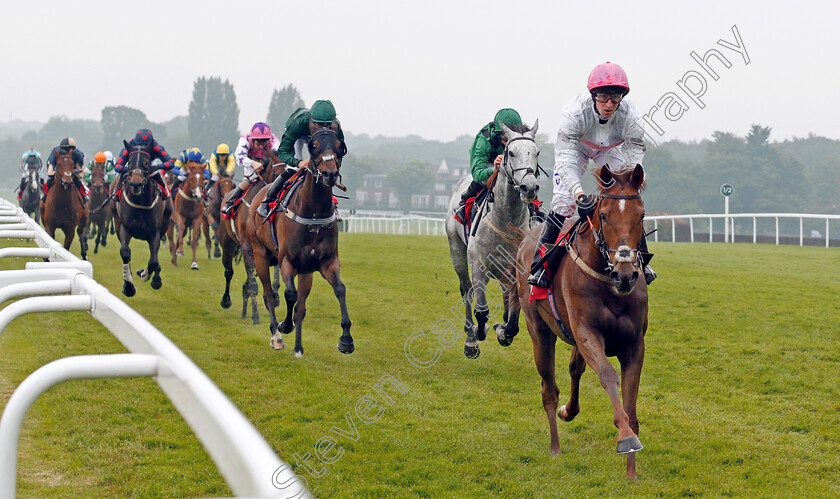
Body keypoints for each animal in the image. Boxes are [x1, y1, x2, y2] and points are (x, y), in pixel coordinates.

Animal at [111, 142, 174, 296]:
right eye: (130, 161)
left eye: (146, 162)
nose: (136, 184)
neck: (140, 201)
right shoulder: (124, 228)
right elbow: (125, 252)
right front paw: (128, 286)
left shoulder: (154, 232)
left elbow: (153, 261)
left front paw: (147, 275)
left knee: (155, 257)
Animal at [215, 152, 284, 324]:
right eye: (278, 174)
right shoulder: (249, 250)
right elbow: (253, 285)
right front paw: (256, 317)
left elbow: (274, 281)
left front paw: (274, 299)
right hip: (227, 247)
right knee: (229, 272)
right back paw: (227, 301)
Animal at [244, 127, 352, 358]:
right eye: (314, 145)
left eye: (339, 145)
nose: (329, 174)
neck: (313, 212)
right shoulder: (286, 260)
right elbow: (289, 294)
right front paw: (284, 326)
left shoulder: (326, 262)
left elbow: (339, 289)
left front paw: (346, 338)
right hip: (259, 254)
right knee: (268, 294)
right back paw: (276, 336)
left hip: (306, 270)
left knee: (300, 307)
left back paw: (298, 348)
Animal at [442, 121, 540, 360]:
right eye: (511, 152)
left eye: (536, 153)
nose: (529, 187)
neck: (506, 220)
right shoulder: (478, 264)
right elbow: (482, 310)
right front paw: (479, 332)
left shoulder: (518, 268)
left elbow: (514, 320)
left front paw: (504, 330)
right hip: (457, 251)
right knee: (467, 291)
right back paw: (470, 336)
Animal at [512, 165, 648, 480]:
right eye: (605, 215)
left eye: (641, 215)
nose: (625, 275)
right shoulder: (587, 333)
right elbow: (608, 374)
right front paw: (625, 438)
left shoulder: (635, 344)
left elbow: (631, 403)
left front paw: (632, 471)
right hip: (539, 331)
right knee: (549, 390)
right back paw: (554, 446)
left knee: (575, 369)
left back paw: (568, 411)